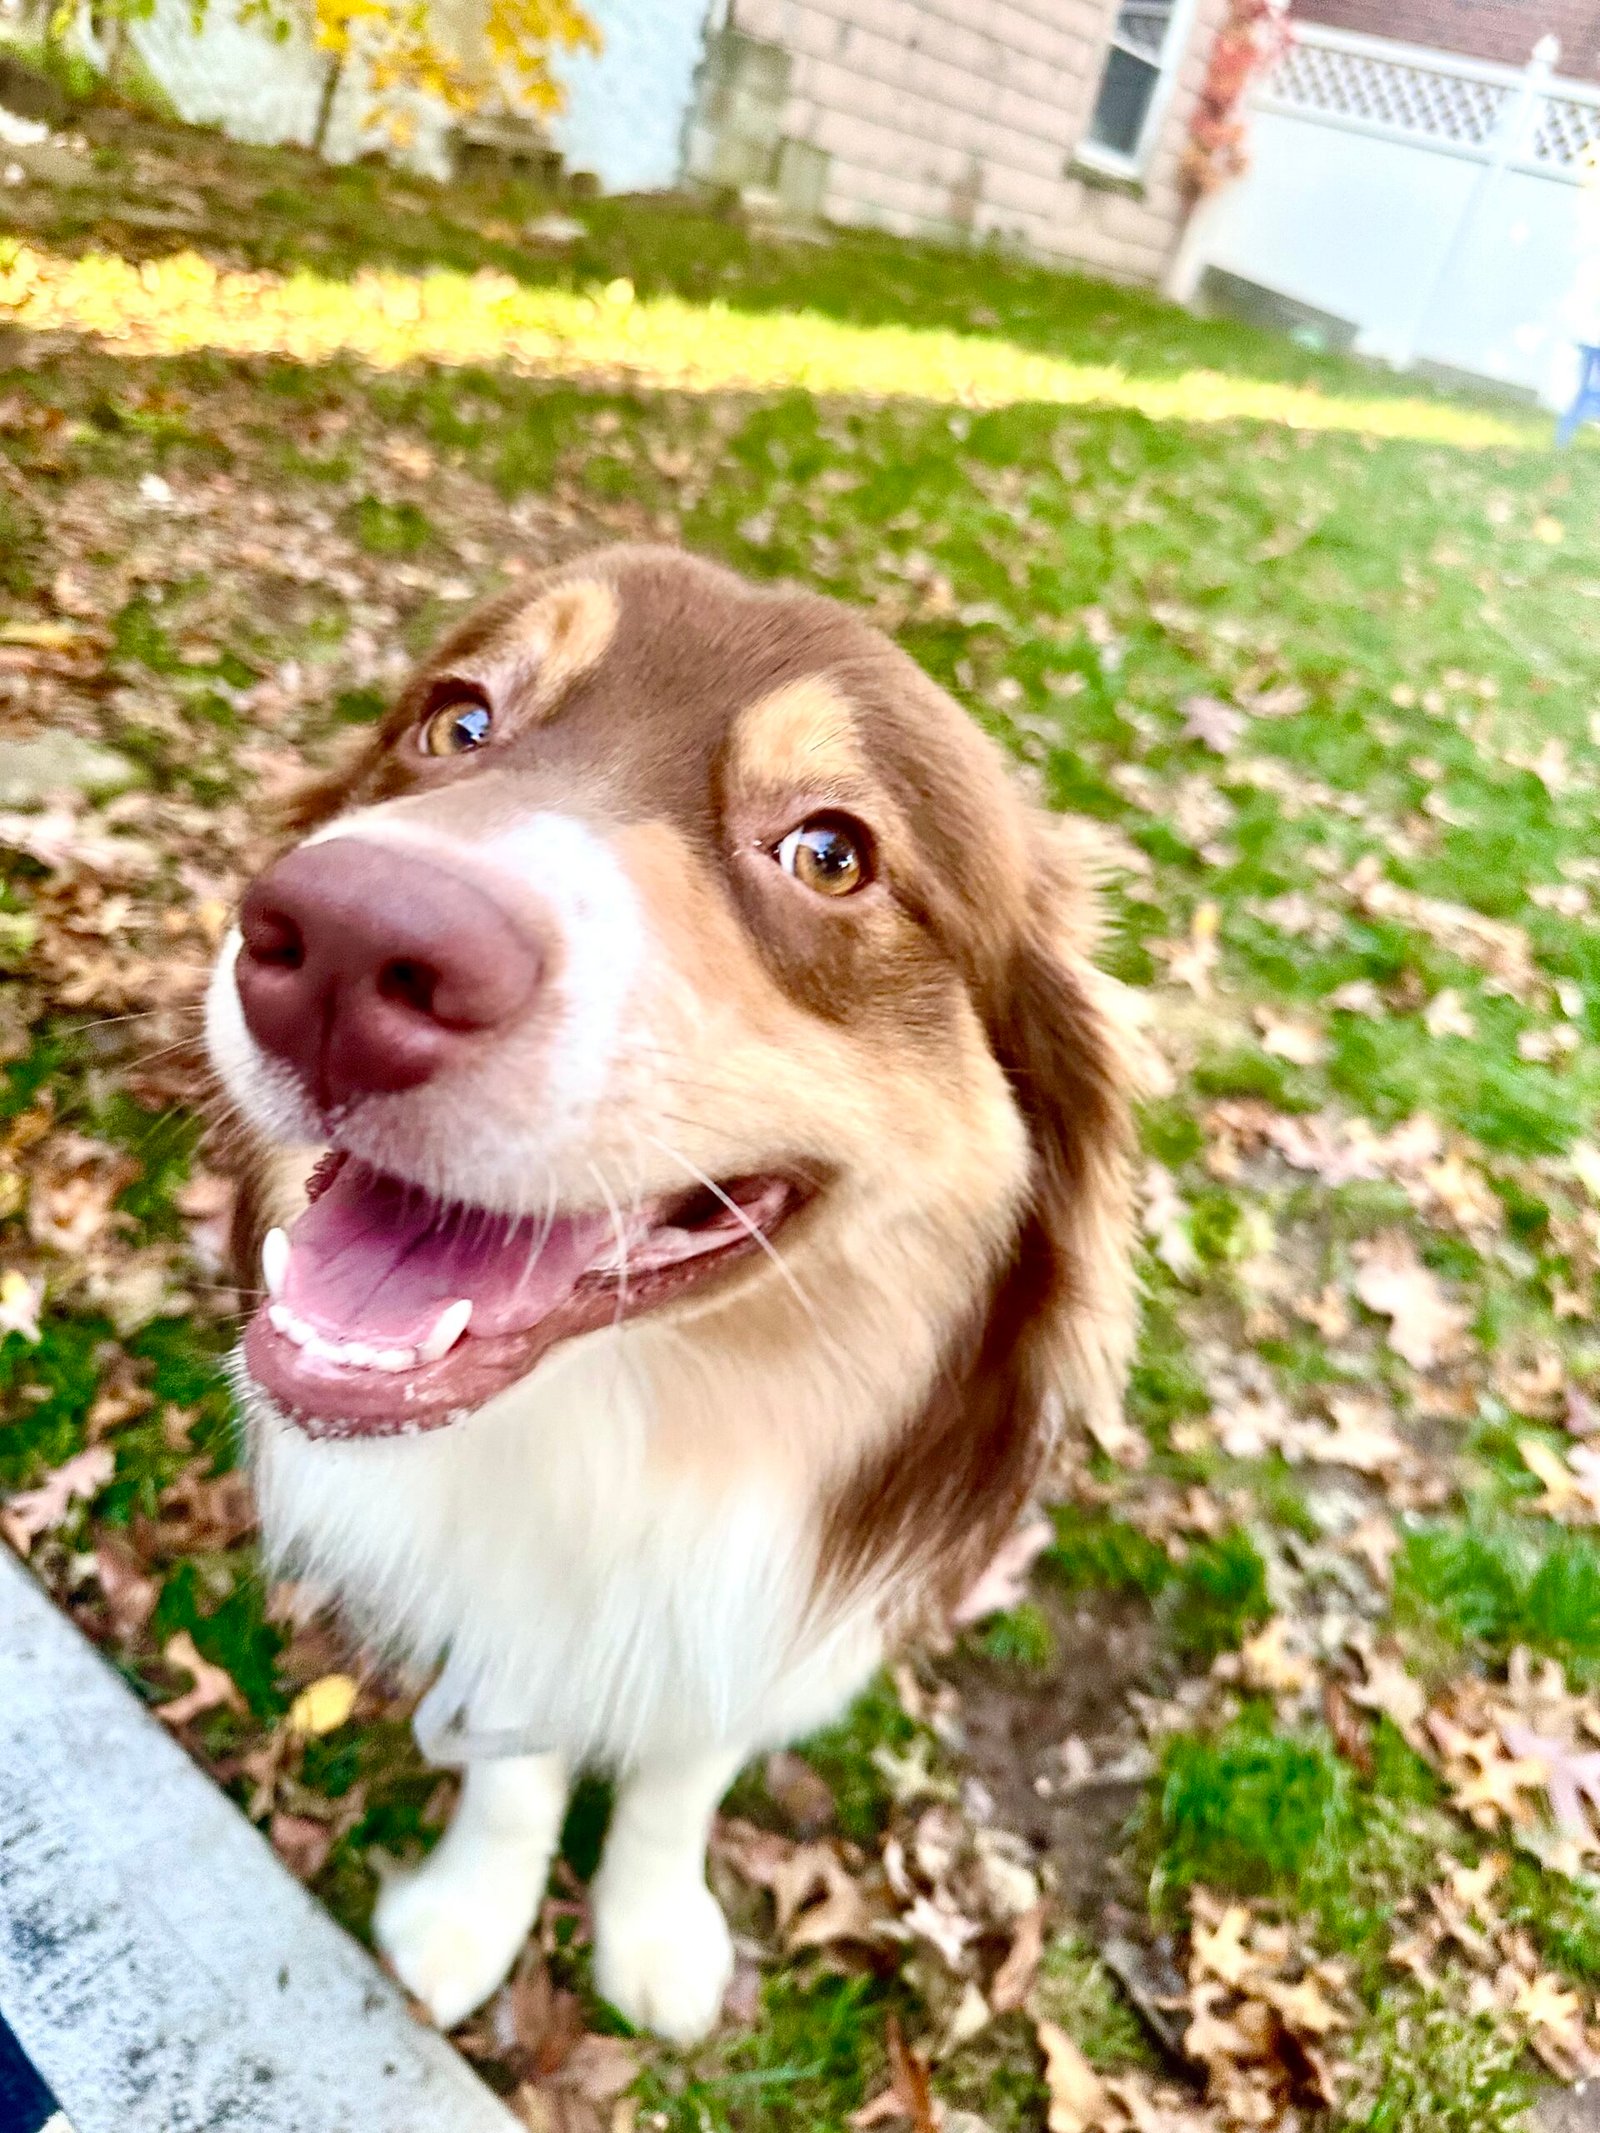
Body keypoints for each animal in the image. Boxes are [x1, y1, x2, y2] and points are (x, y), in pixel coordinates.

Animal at [206, 541, 1143, 2039]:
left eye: (830, 852)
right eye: (456, 722)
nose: (346, 943)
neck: (631, 1434)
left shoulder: (765, 1619)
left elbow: (677, 1780)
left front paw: (651, 1932)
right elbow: (515, 1772)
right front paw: (471, 1910)